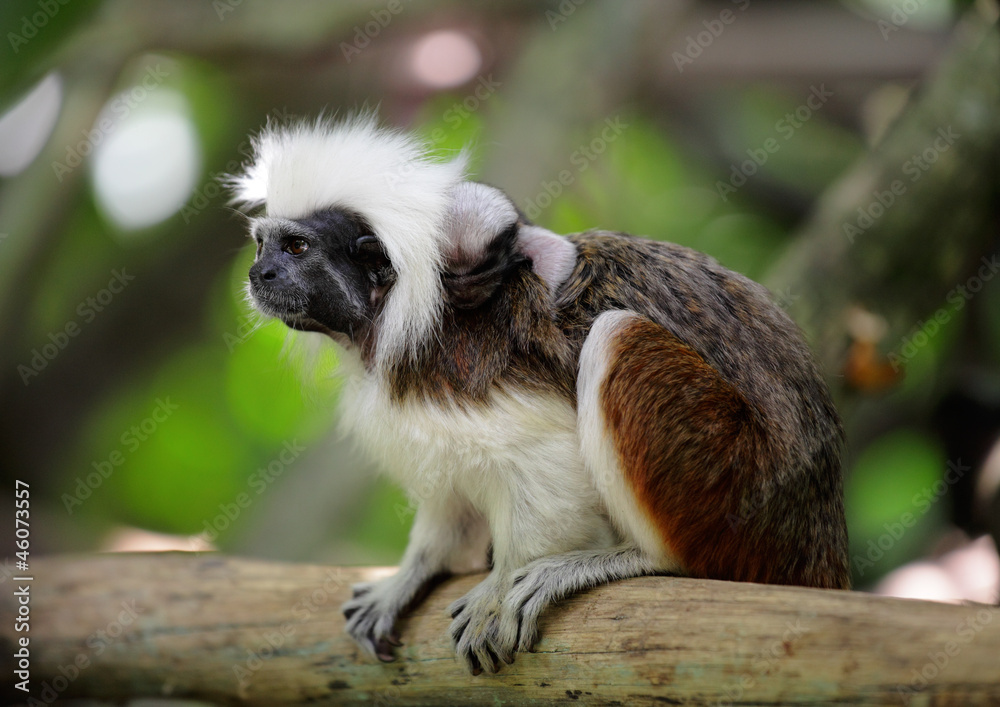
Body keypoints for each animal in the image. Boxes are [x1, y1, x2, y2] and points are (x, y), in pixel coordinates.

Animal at [229, 115, 849, 675]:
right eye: (263, 247)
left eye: (297, 247)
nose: (260, 274)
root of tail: (821, 534)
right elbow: (451, 498)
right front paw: (412, 572)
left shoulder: (465, 363)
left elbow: (545, 462)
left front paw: (504, 580)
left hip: (740, 485)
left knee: (618, 335)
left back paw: (636, 559)